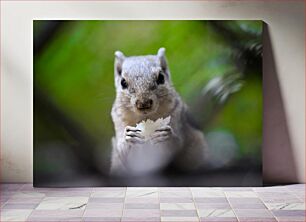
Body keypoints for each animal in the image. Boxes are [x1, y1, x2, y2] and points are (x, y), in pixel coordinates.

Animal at [109, 47, 208, 176]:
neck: (146, 118)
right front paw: (129, 137)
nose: (144, 103)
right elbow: (126, 153)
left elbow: (175, 146)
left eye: (161, 77)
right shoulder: (119, 120)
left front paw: (166, 135)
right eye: (123, 82)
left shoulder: (177, 115)